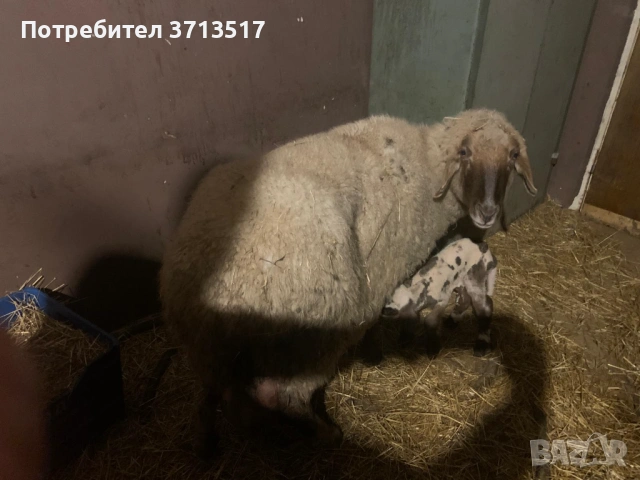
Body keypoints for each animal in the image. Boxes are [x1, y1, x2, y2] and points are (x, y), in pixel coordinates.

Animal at [159, 108, 537, 454]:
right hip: (314, 332)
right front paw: (376, 354)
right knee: (284, 395)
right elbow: (377, 321)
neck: (427, 163)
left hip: (209, 349)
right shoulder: (381, 275)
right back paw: (326, 434)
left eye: (512, 157)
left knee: (218, 394)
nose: (487, 211)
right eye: (465, 153)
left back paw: (210, 444)